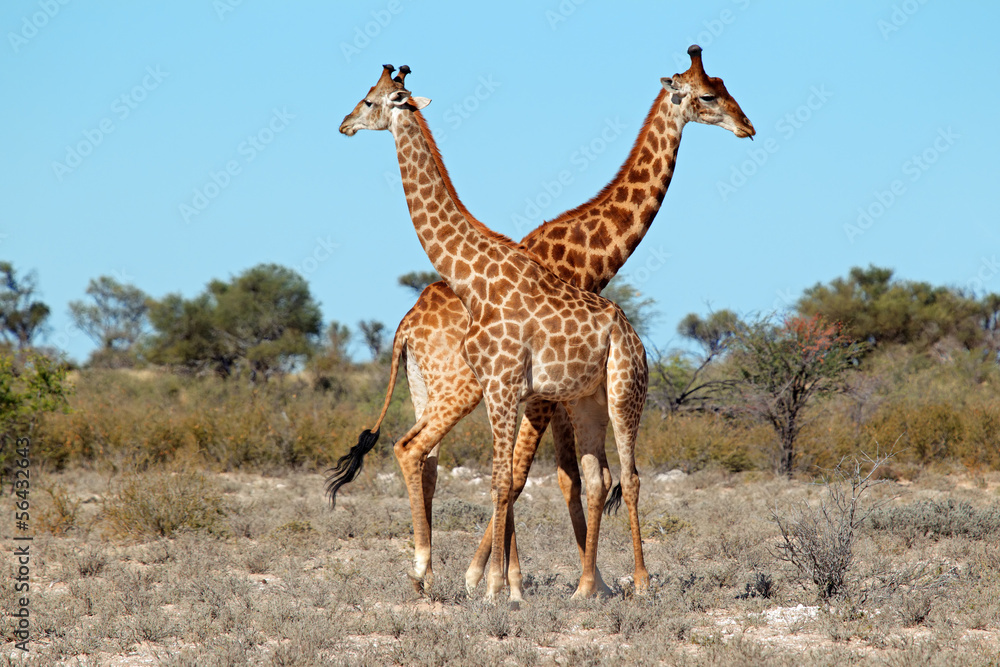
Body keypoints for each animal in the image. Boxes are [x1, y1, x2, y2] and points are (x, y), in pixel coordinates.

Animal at [328, 48, 755, 598]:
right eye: (708, 95)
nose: (747, 126)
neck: (589, 256)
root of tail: (405, 325)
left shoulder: (541, 393)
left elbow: (550, 477)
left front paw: (521, 581)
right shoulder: (539, 395)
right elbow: (535, 477)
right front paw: (502, 581)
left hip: (451, 389)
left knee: (433, 459)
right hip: (454, 389)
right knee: (421, 453)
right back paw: (431, 571)